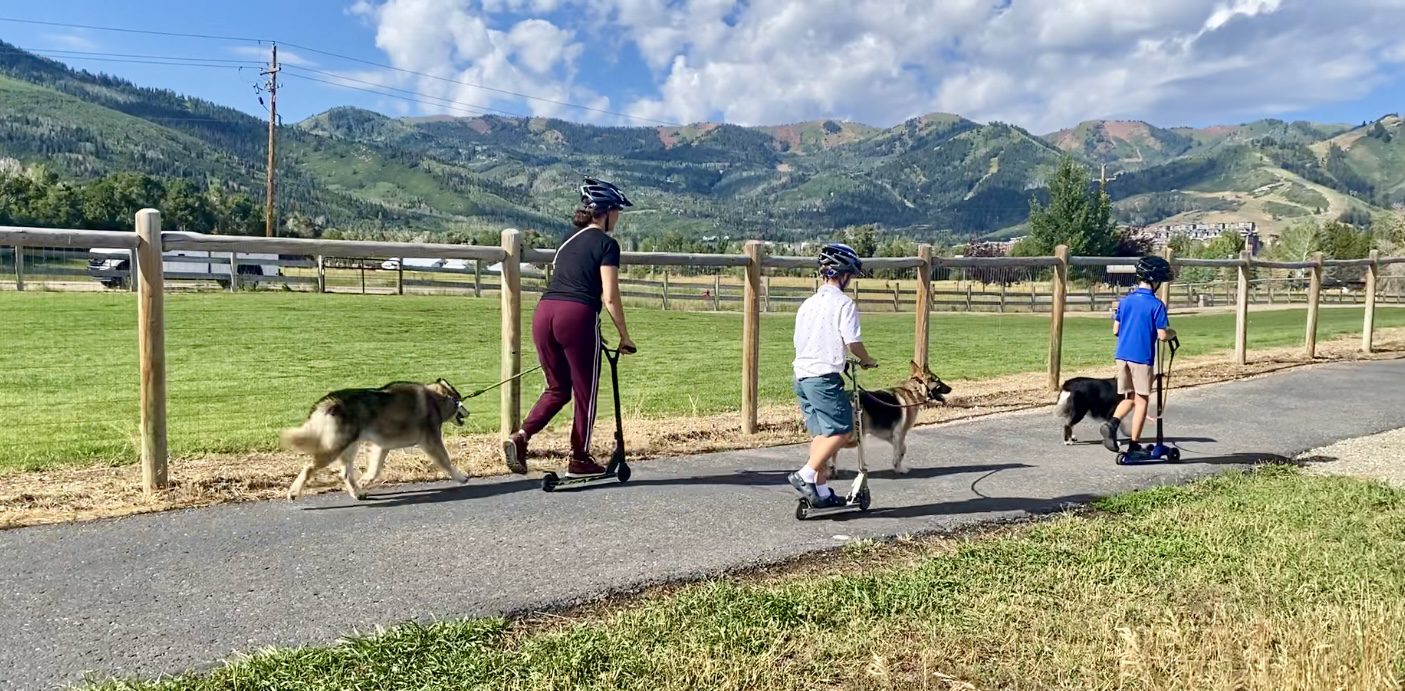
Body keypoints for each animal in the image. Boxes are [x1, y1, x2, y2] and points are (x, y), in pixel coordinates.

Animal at [282, 379, 474, 502]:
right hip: (335, 446)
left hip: (350, 446)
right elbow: (446, 460)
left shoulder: (381, 446)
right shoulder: (431, 440)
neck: (436, 399)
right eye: (460, 402)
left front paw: (365, 480)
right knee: (309, 467)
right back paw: (293, 492)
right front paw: (461, 477)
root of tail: (329, 401)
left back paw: (358, 493)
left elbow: (374, 469)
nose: (469, 412)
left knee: (345, 473)